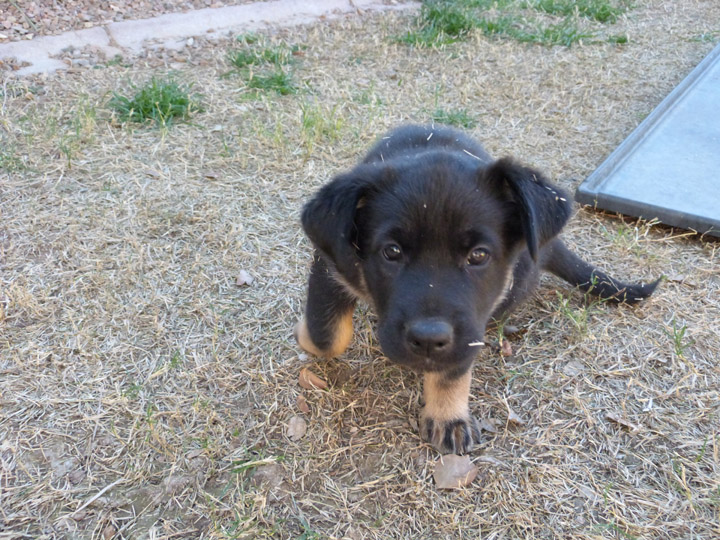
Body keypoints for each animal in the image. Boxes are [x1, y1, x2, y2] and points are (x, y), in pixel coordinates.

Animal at [294, 124, 660, 454]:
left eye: (479, 255)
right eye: (391, 252)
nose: (428, 340)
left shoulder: (470, 324)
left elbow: (454, 368)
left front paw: (447, 415)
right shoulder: (330, 264)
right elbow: (327, 335)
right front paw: (305, 334)